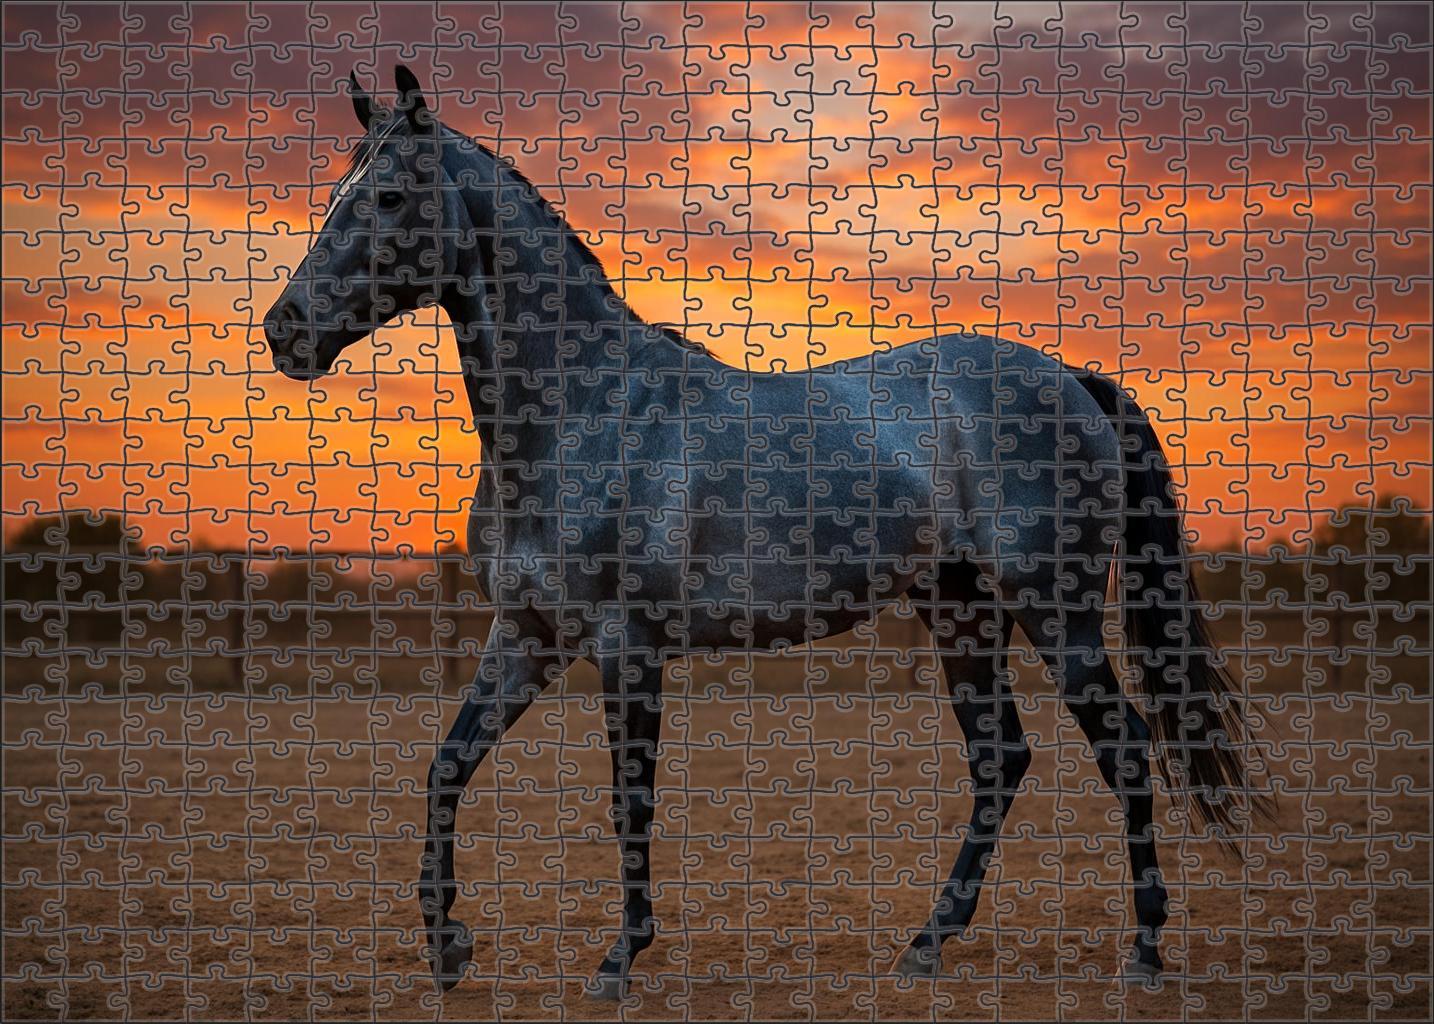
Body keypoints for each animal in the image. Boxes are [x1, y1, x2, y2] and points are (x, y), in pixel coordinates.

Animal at [263, 66, 1265, 999]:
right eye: (338, 190)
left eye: (390, 196)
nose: (285, 331)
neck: (587, 411)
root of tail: (1073, 382)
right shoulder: (529, 639)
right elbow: (445, 770)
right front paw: (448, 948)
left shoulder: (627, 648)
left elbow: (630, 802)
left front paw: (620, 958)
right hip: (962, 614)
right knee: (1001, 760)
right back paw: (926, 945)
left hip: (1056, 614)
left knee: (1123, 748)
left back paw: (1143, 951)